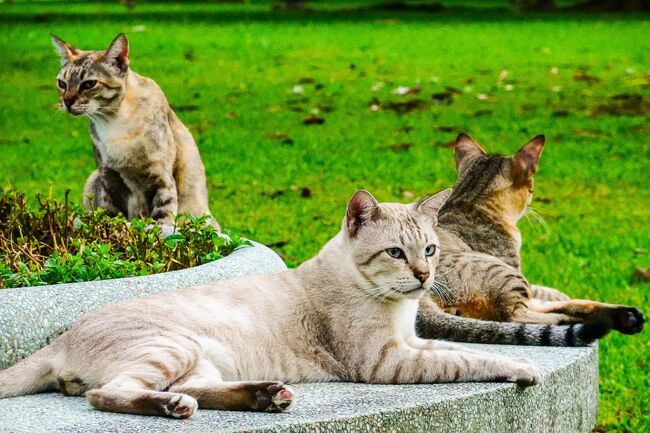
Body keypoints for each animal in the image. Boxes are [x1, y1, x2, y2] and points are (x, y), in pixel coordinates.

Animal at [0, 187, 548, 416]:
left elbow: (463, 352)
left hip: (204, 358)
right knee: (107, 394)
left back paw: (265, 396)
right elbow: (468, 360)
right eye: (396, 252)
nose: (424, 275)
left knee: (198, 389)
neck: (396, 308)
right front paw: (521, 369)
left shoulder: (412, 344)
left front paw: (516, 361)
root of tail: (61, 339)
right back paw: (175, 406)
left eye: (430, 250)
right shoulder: (386, 361)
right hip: (172, 347)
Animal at [50, 33, 218, 228]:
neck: (113, 123)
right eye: (62, 83)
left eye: (89, 84)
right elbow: (108, 217)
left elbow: (162, 218)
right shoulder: (108, 178)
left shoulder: (160, 178)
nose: (67, 102)